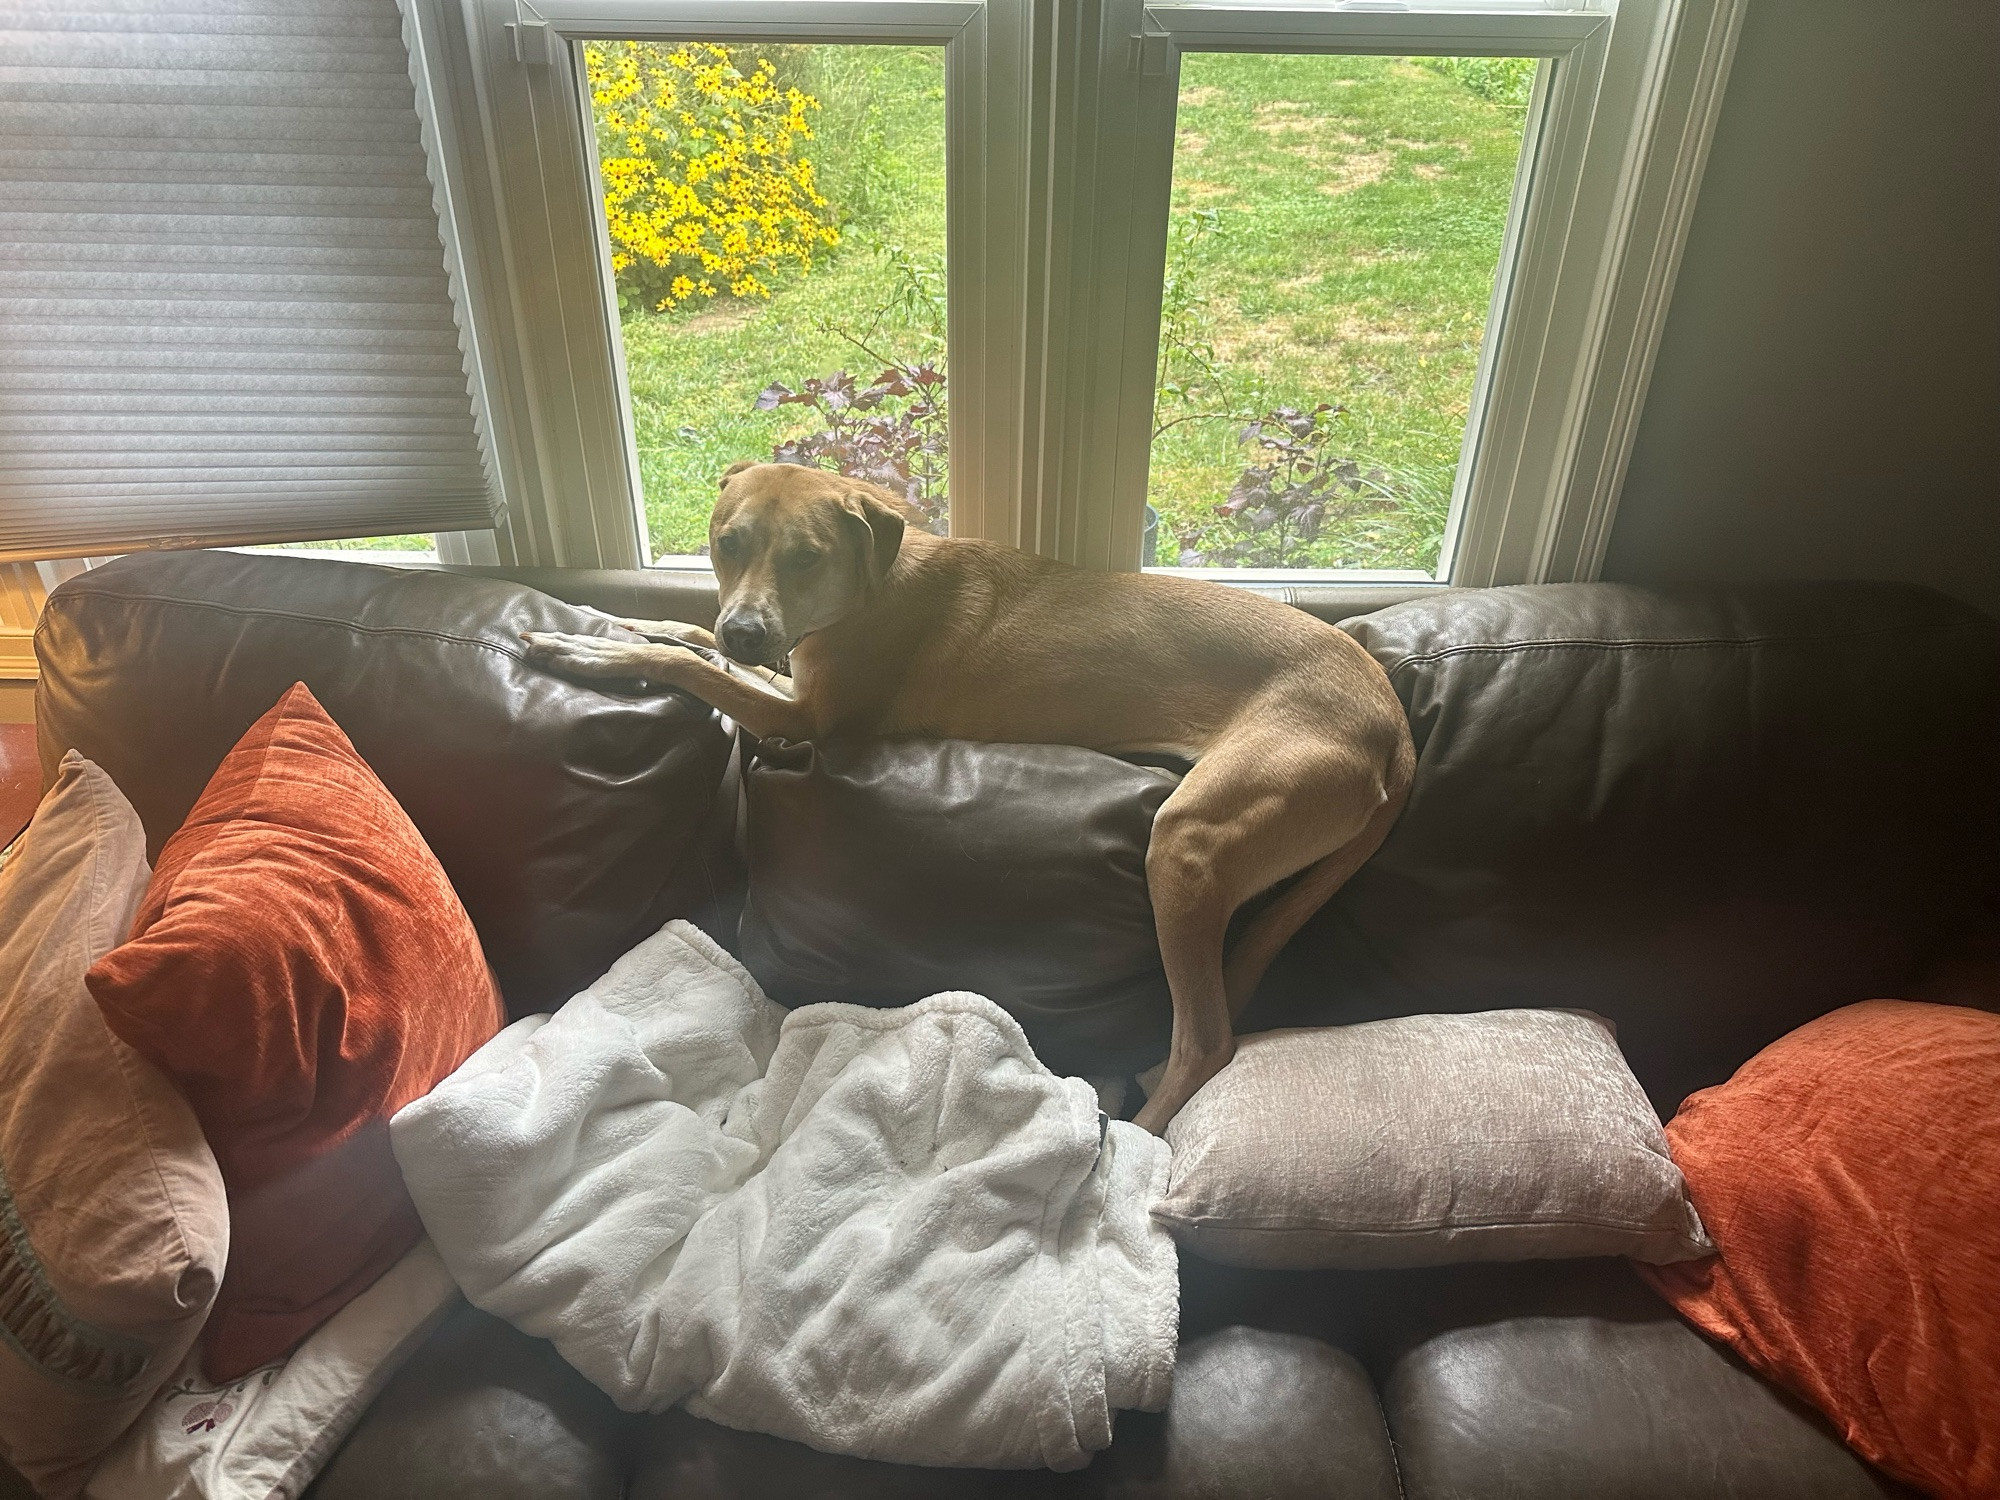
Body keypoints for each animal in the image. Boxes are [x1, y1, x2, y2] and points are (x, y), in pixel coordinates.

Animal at [524, 464, 1416, 1136]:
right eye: (726, 543)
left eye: (807, 557)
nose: (748, 627)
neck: (871, 586)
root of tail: (1392, 717)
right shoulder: (784, 676)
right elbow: (691, 642)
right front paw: (620, 623)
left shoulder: (803, 714)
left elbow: (692, 663)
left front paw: (590, 653)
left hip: (1190, 840)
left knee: (1206, 1041)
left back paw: (1135, 1132)